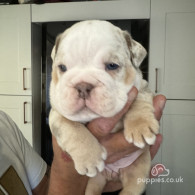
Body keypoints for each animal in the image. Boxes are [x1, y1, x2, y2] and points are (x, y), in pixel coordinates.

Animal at [49, 20, 159, 194]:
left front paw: (140, 126)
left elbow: (139, 100)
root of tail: (113, 174)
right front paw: (90, 157)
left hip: (138, 170)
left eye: (112, 66)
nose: (83, 86)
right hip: (95, 180)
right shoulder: (57, 112)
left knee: (132, 188)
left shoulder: (142, 86)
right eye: (62, 68)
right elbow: (69, 126)